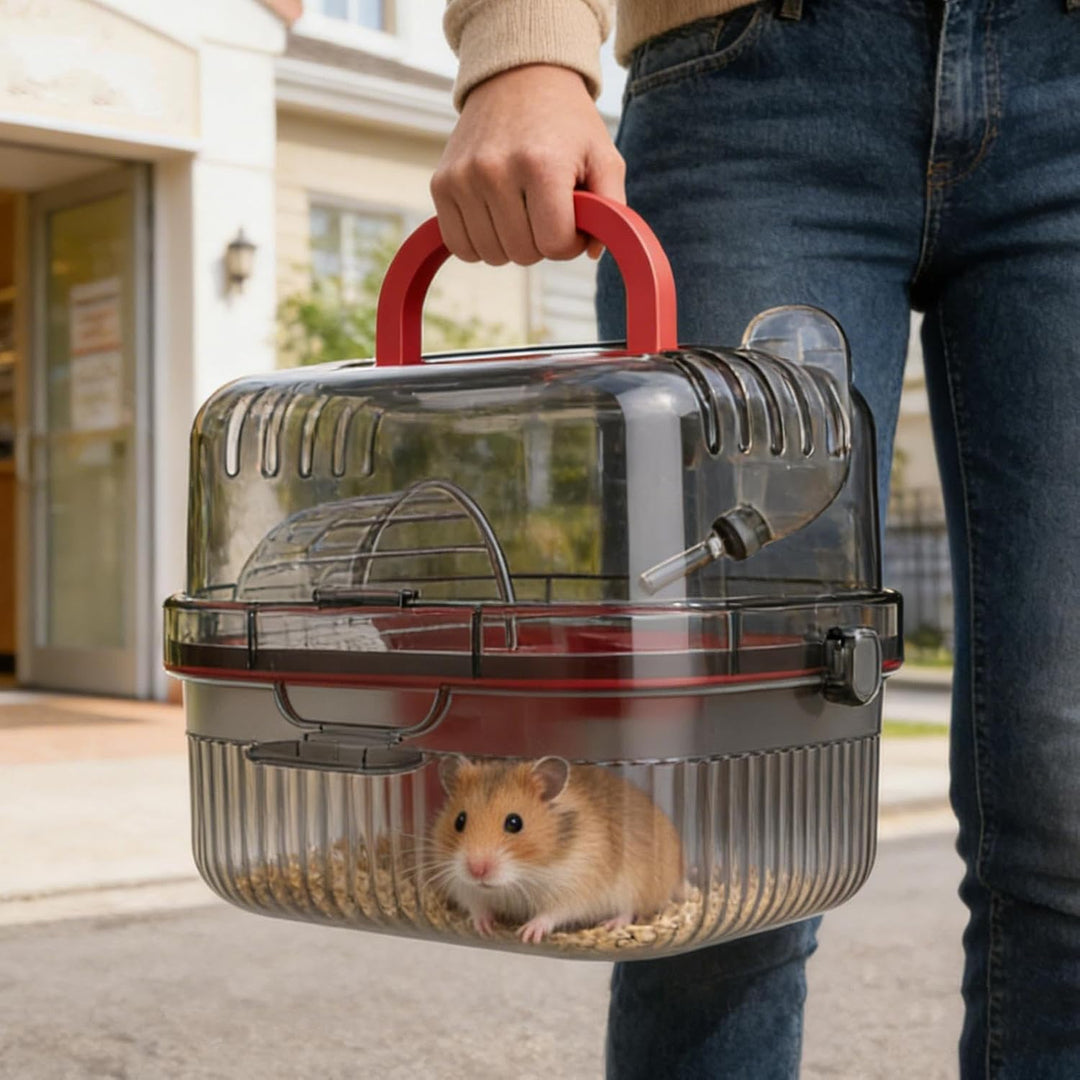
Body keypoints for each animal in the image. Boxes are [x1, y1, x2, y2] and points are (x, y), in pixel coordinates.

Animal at [429, 755, 684, 944]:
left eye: (515, 822)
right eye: (459, 821)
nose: (477, 871)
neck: (523, 875)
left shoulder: (576, 885)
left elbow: (553, 913)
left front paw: (528, 933)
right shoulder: (463, 886)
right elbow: (477, 906)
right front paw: (484, 928)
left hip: (638, 884)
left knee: (630, 909)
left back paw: (611, 925)